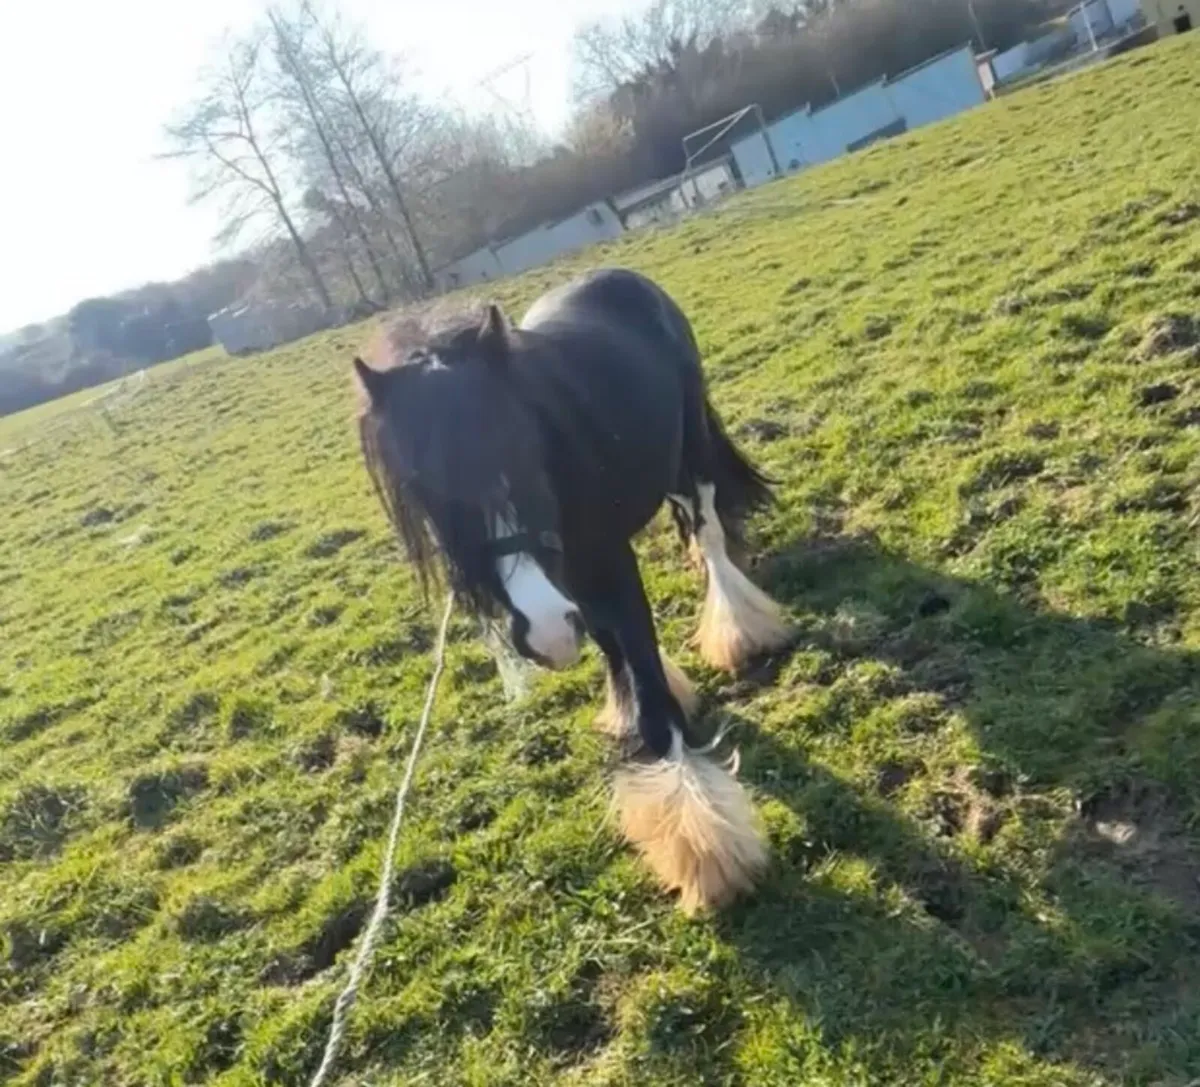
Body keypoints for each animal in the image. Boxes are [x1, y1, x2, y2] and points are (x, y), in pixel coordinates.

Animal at [352, 267, 793, 914]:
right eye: (428, 489)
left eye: (519, 445)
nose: (545, 633)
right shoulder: (577, 586)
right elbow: (613, 648)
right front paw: (624, 709)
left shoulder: (611, 564)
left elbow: (652, 697)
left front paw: (705, 850)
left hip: (688, 453)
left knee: (708, 528)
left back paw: (740, 629)